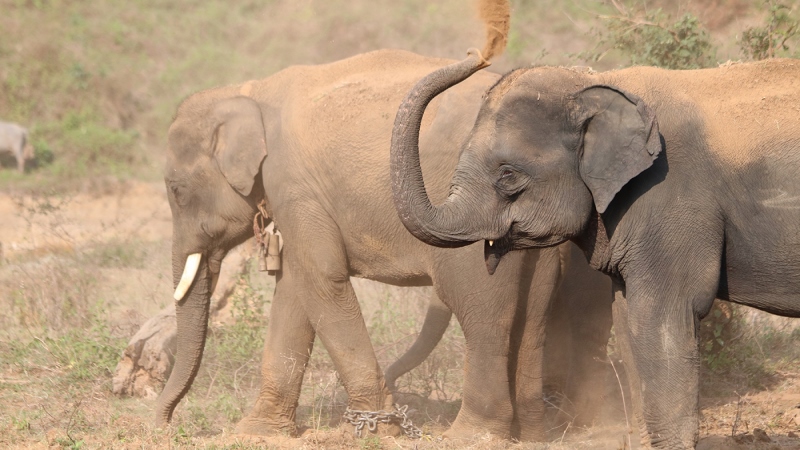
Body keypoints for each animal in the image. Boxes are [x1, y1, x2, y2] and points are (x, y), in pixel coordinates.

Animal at [161, 48, 612, 440]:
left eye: (177, 191)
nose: (164, 422)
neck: (250, 91)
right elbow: (293, 289)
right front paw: (257, 432)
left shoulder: (293, 185)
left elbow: (321, 280)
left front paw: (376, 430)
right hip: (542, 239)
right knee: (533, 318)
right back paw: (533, 434)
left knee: (484, 315)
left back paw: (472, 435)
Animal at [390, 47, 800, 448]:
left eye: (508, 175)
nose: (476, 53)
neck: (592, 84)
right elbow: (628, 319)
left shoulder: (670, 201)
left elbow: (664, 317)